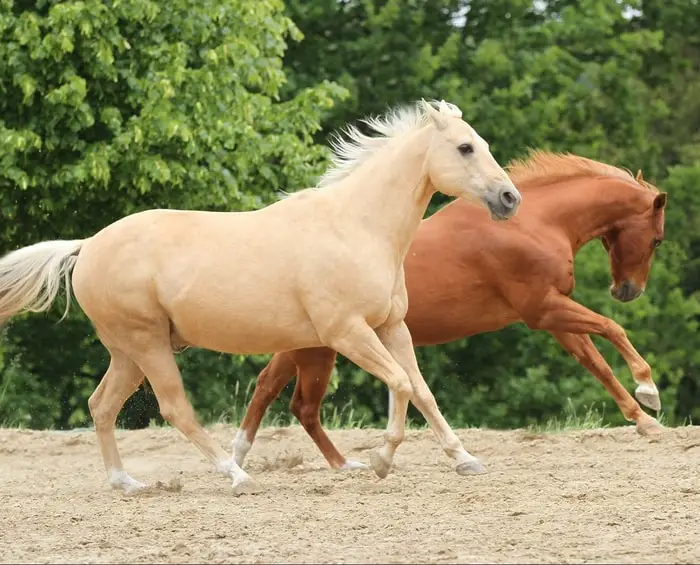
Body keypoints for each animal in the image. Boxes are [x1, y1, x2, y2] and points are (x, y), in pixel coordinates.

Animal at [0, 98, 520, 494]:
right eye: (465, 147)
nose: (510, 198)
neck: (357, 226)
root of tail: (87, 245)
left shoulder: (391, 326)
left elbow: (422, 390)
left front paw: (464, 458)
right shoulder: (348, 332)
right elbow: (401, 384)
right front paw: (380, 460)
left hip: (128, 352)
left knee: (101, 405)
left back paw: (125, 482)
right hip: (146, 344)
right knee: (174, 409)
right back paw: (236, 475)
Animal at [234, 151, 668, 472]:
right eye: (658, 239)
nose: (627, 291)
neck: (534, 223)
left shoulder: (552, 315)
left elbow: (597, 363)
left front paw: (643, 419)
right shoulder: (544, 309)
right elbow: (612, 328)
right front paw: (648, 391)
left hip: (308, 347)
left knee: (275, 391)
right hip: (318, 350)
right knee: (298, 403)